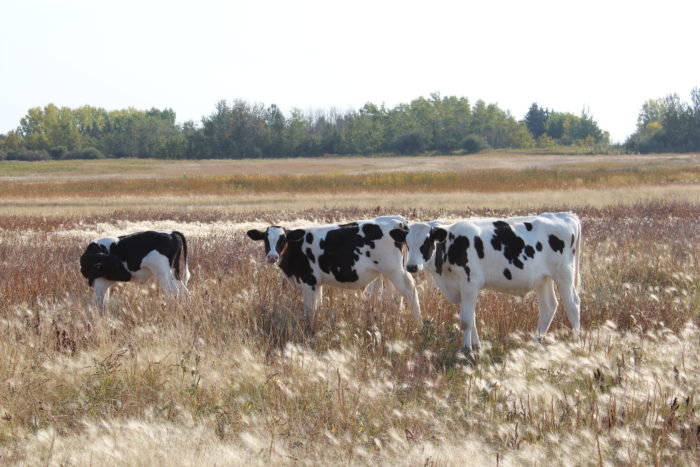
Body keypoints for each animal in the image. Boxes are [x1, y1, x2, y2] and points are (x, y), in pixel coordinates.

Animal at [246, 217, 422, 332]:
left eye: (283, 240)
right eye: (265, 240)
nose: (272, 256)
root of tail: (397, 220)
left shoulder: (309, 281)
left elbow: (309, 310)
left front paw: (309, 329)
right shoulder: (317, 284)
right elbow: (317, 306)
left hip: (395, 271)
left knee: (410, 292)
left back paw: (418, 323)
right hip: (388, 274)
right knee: (395, 297)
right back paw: (395, 320)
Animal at [392, 213, 584, 354]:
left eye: (426, 243)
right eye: (407, 243)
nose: (411, 266)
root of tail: (565, 215)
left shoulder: (469, 284)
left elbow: (466, 320)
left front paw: (467, 350)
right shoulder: (460, 289)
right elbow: (471, 317)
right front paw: (476, 347)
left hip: (564, 274)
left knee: (573, 305)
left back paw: (576, 342)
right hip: (543, 279)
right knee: (549, 307)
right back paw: (537, 342)